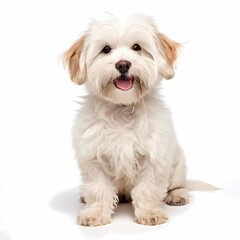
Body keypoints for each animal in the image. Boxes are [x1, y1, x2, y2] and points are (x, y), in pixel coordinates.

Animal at [63, 14, 191, 226]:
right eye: (106, 49)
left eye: (137, 47)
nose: (123, 64)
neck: (122, 107)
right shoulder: (93, 158)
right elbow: (98, 189)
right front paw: (95, 213)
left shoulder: (154, 158)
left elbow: (148, 188)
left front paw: (149, 212)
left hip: (178, 164)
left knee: (176, 185)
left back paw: (176, 195)